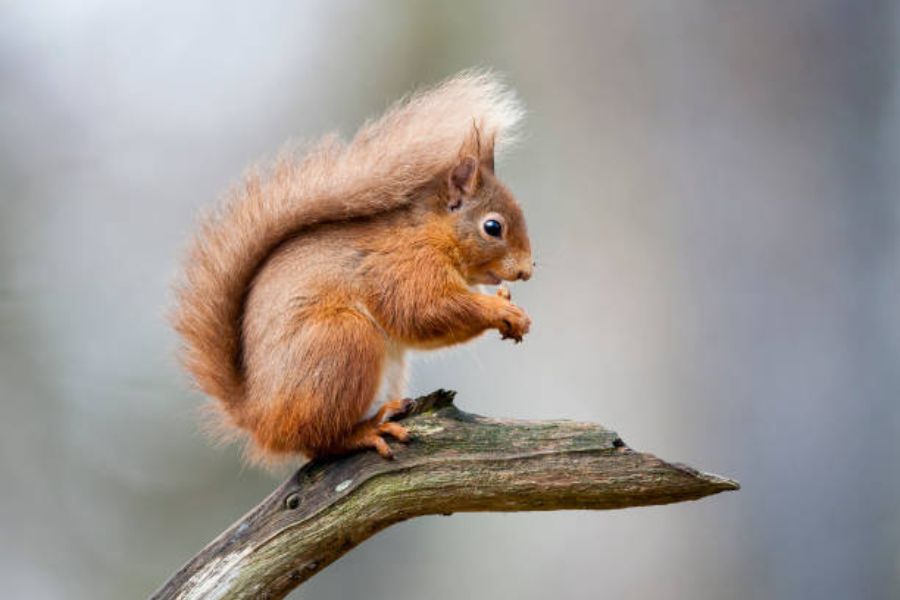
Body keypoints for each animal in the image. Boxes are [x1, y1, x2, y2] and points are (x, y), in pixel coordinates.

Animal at [172, 71, 532, 464]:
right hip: (344, 342)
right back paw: (367, 431)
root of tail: (259, 417)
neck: (430, 233)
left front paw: (512, 310)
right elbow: (423, 311)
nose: (527, 270)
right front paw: (500, 310)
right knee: (320, 440)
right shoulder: (404, 267)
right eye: (493, 227)